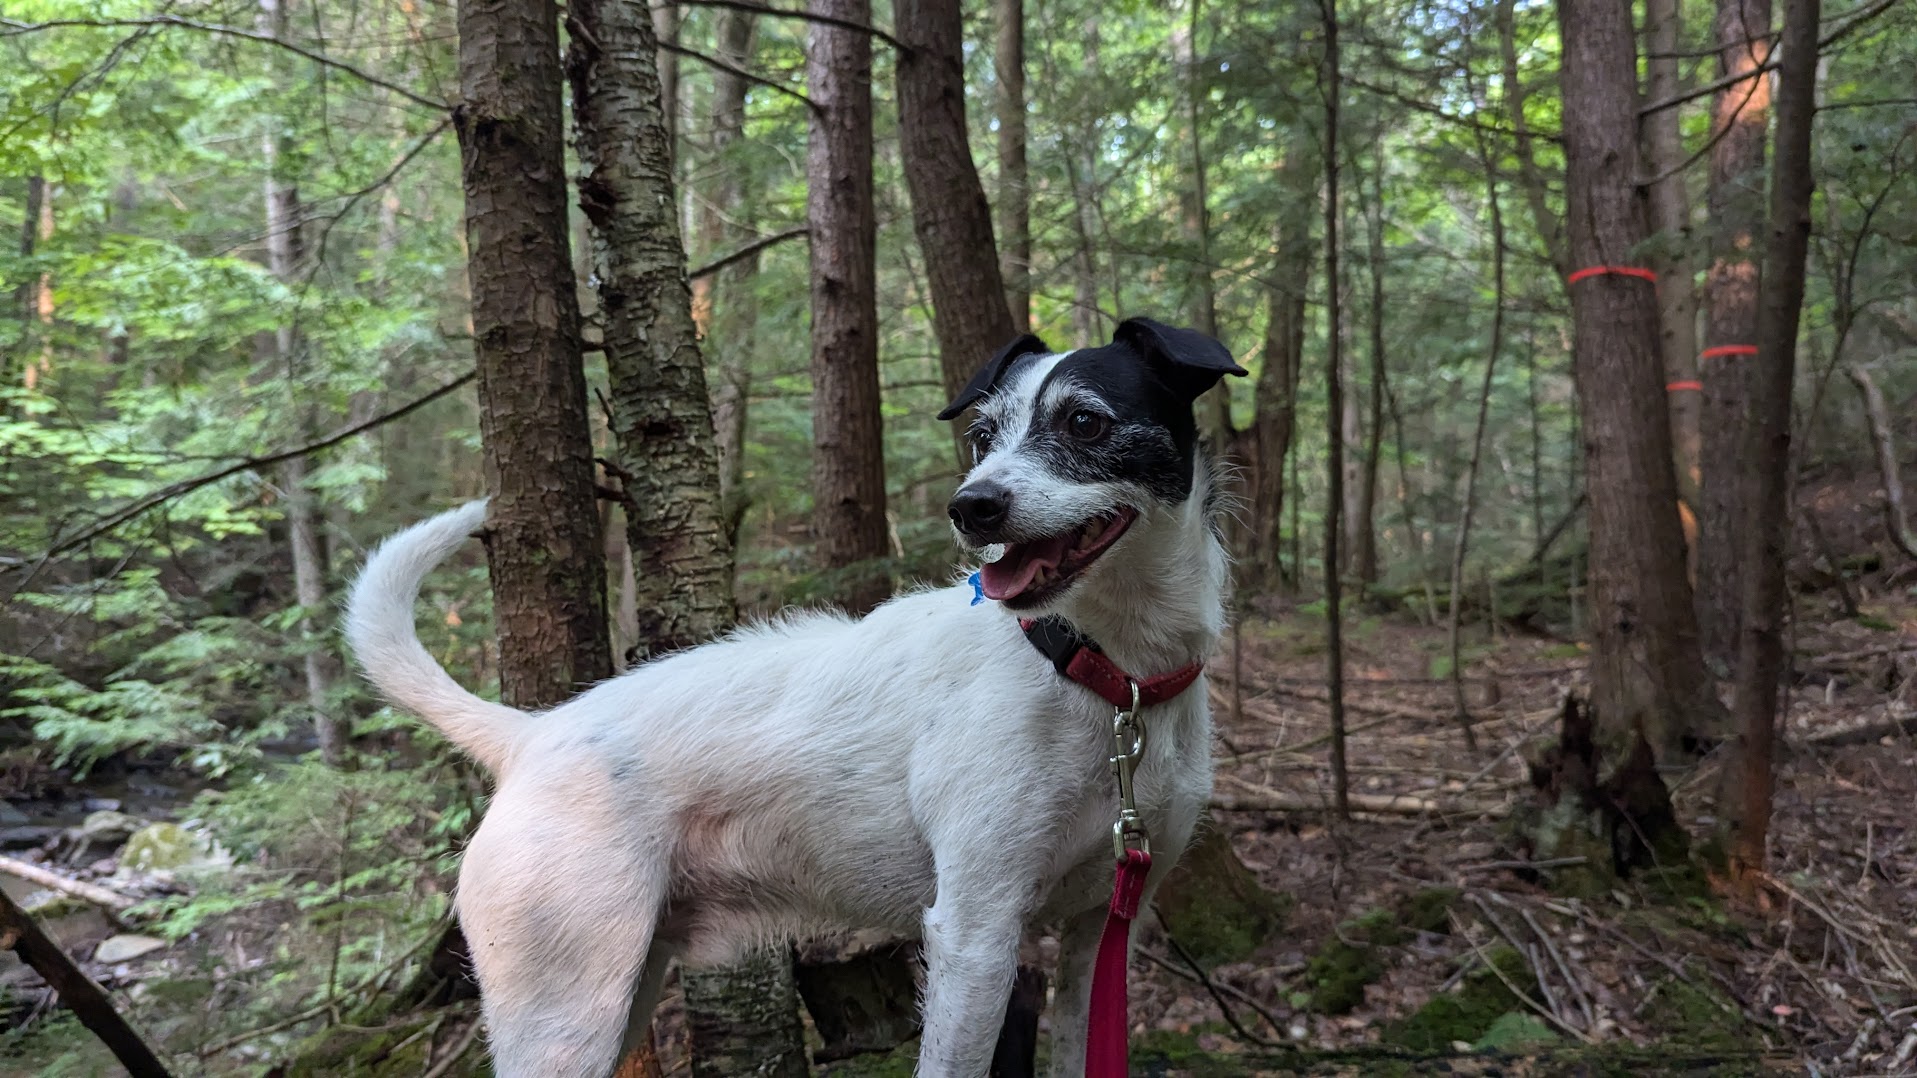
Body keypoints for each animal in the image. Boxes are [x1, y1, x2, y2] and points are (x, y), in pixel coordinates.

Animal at [343, 314, 1242, 1066]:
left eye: (1084, 421)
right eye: (982, 434)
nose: (972, 507)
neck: (1105, 676)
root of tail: (529, 734)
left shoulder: (1098, 936)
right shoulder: (975, 935)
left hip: (623, 986)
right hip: (564, 1007)